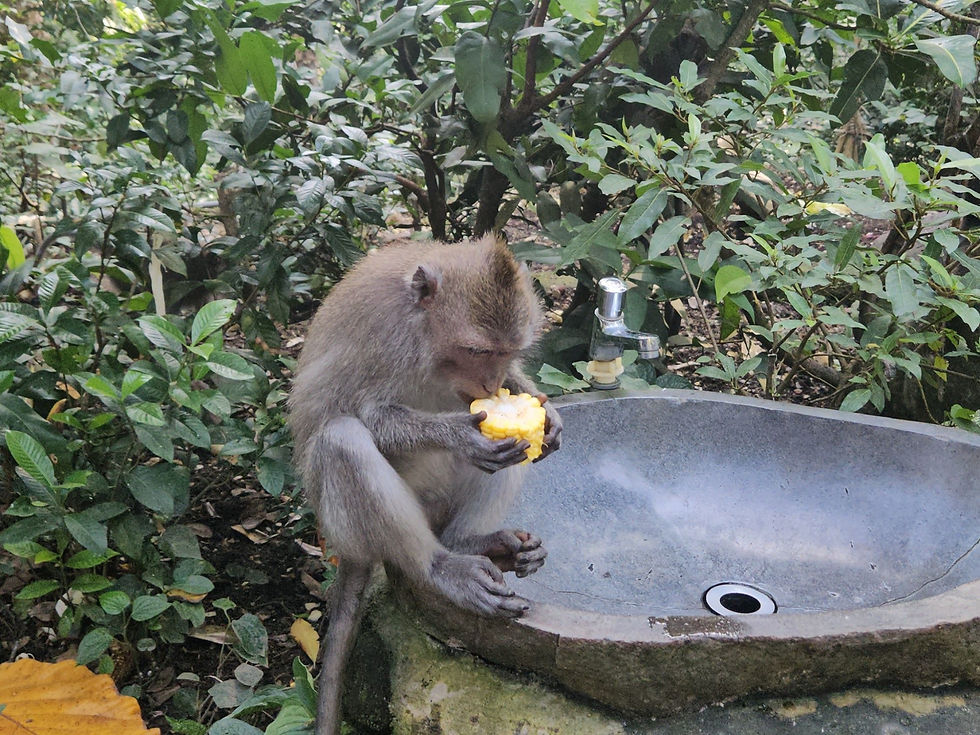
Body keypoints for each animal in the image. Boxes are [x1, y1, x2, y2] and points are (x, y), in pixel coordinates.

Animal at [288, 235, 562, 735]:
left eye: (506, 352)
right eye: (477, 350)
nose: (491, 382)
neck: (424, 336)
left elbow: (524, 416)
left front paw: (547, 412)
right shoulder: (385, 338)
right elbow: (371, 416)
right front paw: (459, 435)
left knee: (509, 458)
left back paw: (475, 541)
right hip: (344, 519)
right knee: (342, 439)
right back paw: (441, 567)